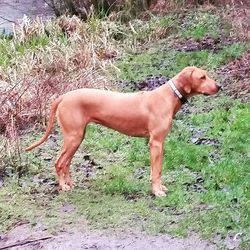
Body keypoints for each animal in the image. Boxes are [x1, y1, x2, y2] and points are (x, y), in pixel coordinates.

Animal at [25, 66, 221, 197]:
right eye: (202, 77)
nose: (219, 86)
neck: (168, 97)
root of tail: (64, 96)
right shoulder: (156, 143)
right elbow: (155, 171)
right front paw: (157, 191)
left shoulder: (159, 144)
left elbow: (157, 170)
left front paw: (160, 187)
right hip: (73, 137)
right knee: (59, 162)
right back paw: (63, 187)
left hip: (77, 138)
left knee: (66, 163)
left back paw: (70, 183)